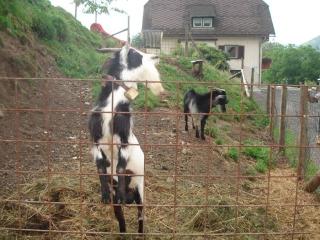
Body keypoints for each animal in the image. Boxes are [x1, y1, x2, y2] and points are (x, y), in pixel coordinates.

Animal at [89, 44, 165, 232]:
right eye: (136, 54)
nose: (156, 57)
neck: (113, 105)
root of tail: (132, 197)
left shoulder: (123, 137)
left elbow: (121, 168)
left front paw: (120, 194)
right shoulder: (95, 137)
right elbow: (100, 166)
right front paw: (104, 195)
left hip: (140, 191)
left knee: (141, 216)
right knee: (121, 219)